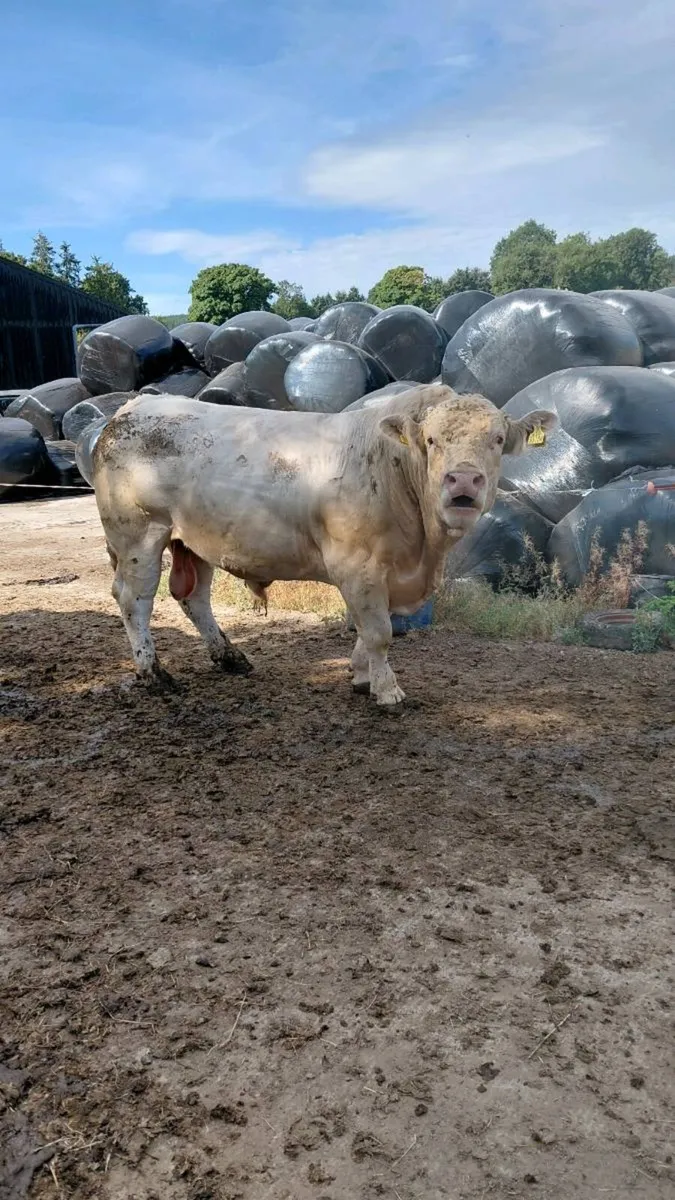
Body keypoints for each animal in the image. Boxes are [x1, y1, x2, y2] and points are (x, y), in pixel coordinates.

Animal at [83, 384, 556, 707]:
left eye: (497, 440)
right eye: (431, 441)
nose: (462, 482)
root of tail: (132, 407)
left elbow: (370, 628)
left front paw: (361, 675)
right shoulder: (356, 564)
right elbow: (378, 630)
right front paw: (387, 689)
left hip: (196, 540)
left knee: (193, 597)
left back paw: (229, 657)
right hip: (138, 533)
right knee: (134, 599)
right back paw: (153, 673)